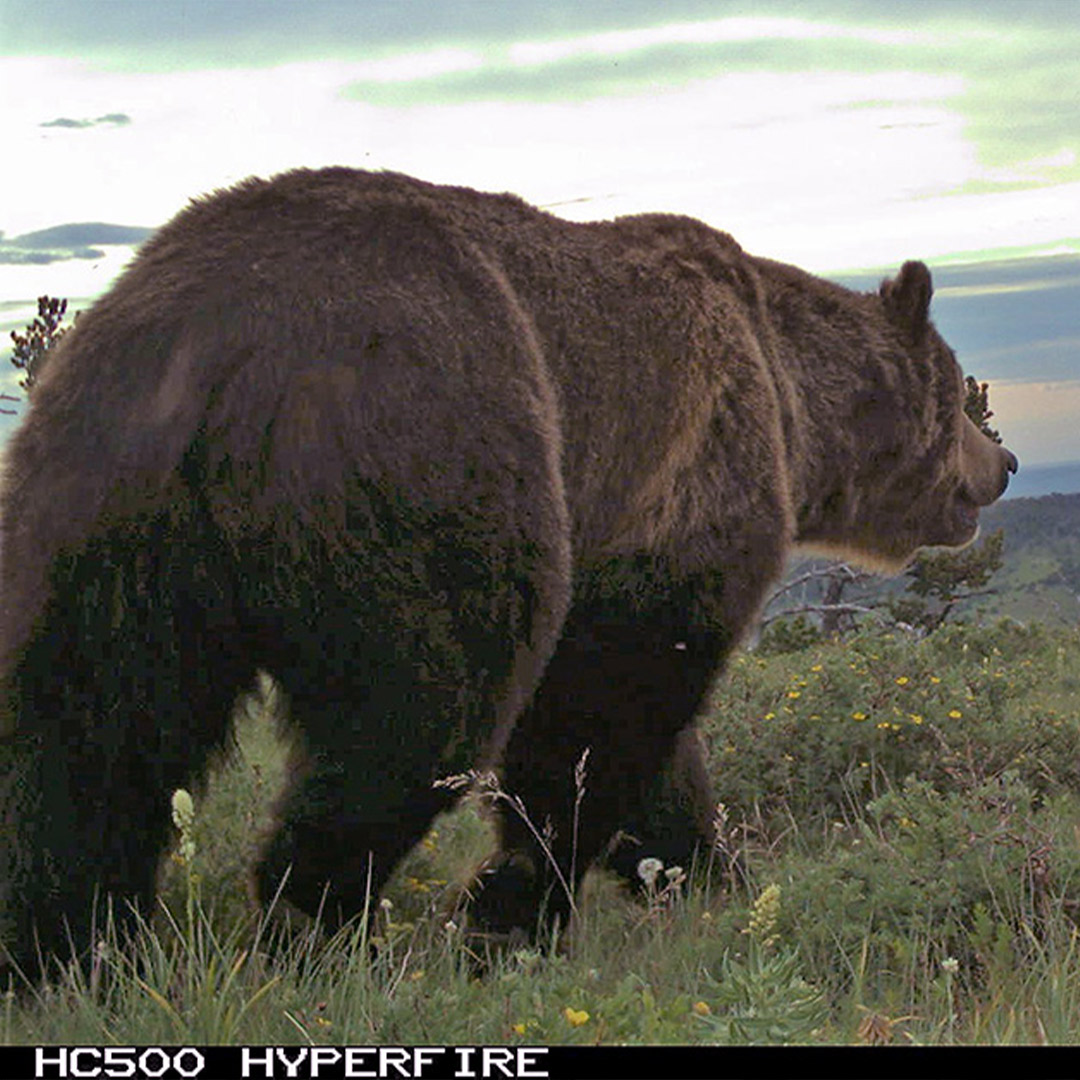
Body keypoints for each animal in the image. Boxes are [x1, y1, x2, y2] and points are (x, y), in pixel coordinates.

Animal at [0, 167, 1016, 976]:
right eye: (959, 396)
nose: (1001, 463)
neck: (793, 400)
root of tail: (222, 347)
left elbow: (653, 757)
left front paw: (705, 871)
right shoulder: (677, 470)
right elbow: (600, 711)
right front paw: (514, 906)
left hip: (105, 500)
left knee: (83, 727)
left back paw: (63, 942)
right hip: (425, 457)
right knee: (418, 714)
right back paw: (317, 922)